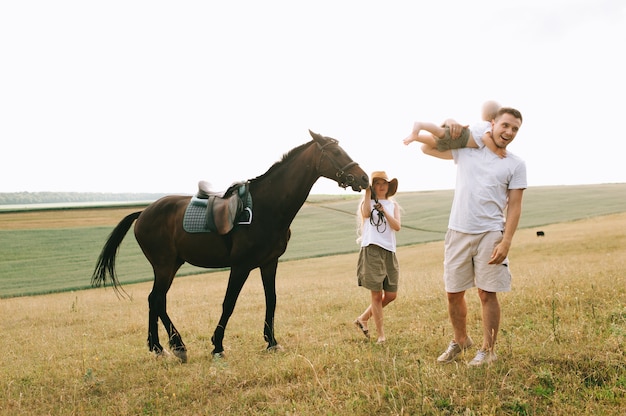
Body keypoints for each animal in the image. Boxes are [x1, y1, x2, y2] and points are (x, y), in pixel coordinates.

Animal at [90, 130, 368, 360]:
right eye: (335, 152)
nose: (364, 178)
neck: (267, 206)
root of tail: (143, 213)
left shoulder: (269, 263)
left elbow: (272, 299)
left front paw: (271, 341)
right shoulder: (241, 266)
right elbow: (229, 303)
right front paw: (217, 345)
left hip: (170, 265)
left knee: (154, 300)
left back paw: (158, 348)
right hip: (165, 265)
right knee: (157, 300)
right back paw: (177, 346)